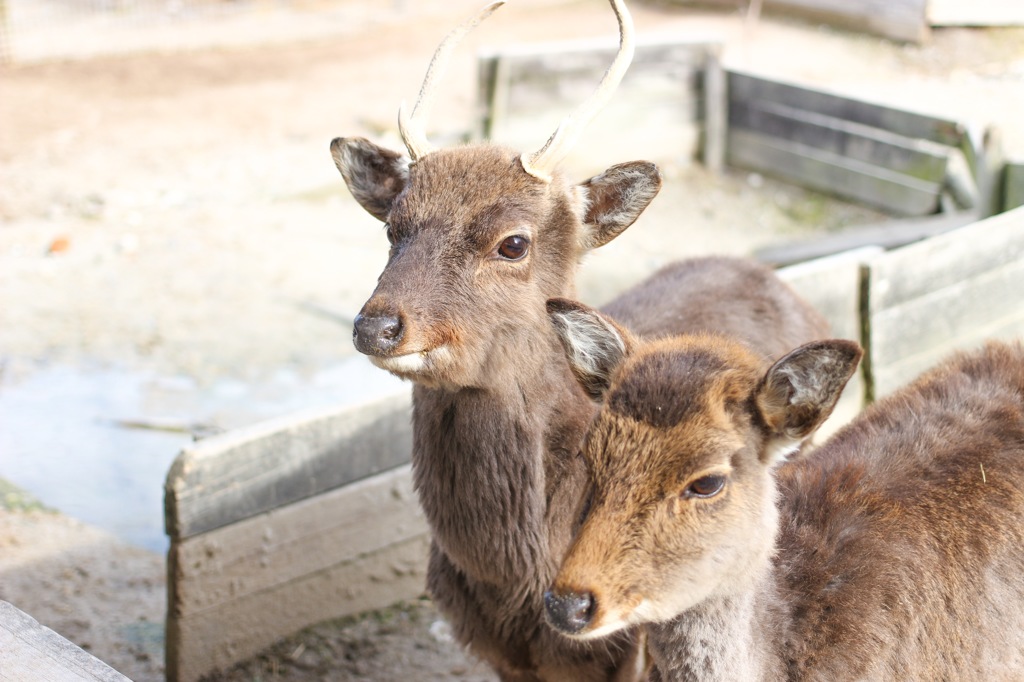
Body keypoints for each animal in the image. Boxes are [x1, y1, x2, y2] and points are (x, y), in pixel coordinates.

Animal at [331, 0, 827, 675]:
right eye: (391, 228)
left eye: (514, 242)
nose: (376, 325)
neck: (515, 581)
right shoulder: (496, 655)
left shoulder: (626, 653)